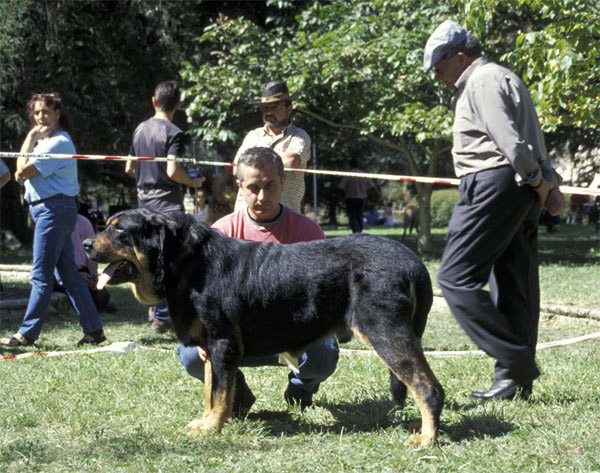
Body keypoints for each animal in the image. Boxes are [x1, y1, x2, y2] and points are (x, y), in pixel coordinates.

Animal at [86, 207, 448, 446]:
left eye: (119, 231)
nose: (87, 245)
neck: (187, 263)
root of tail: (413, 261)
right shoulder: (211, 347)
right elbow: (211, 390)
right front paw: (208, 421)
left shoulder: (223, 342)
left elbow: (219, 392)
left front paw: (212, 429)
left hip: (386, 333)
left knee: (428, 388)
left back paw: (427, 438)